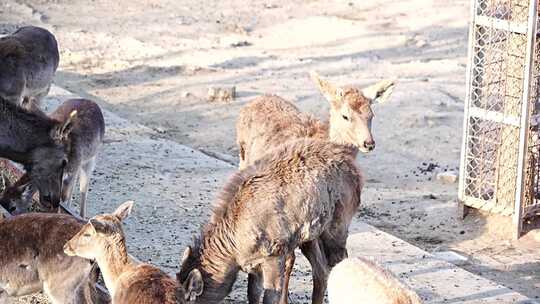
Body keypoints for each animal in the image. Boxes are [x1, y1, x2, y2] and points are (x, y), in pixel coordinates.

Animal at [177, 139, 362, 304]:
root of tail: (355, 169)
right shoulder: (254, 265)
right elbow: (252, 294)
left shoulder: (275, 255)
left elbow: (270, 296)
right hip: (310, 236)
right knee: (321, 271)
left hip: (337, 226)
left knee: (340, 260)